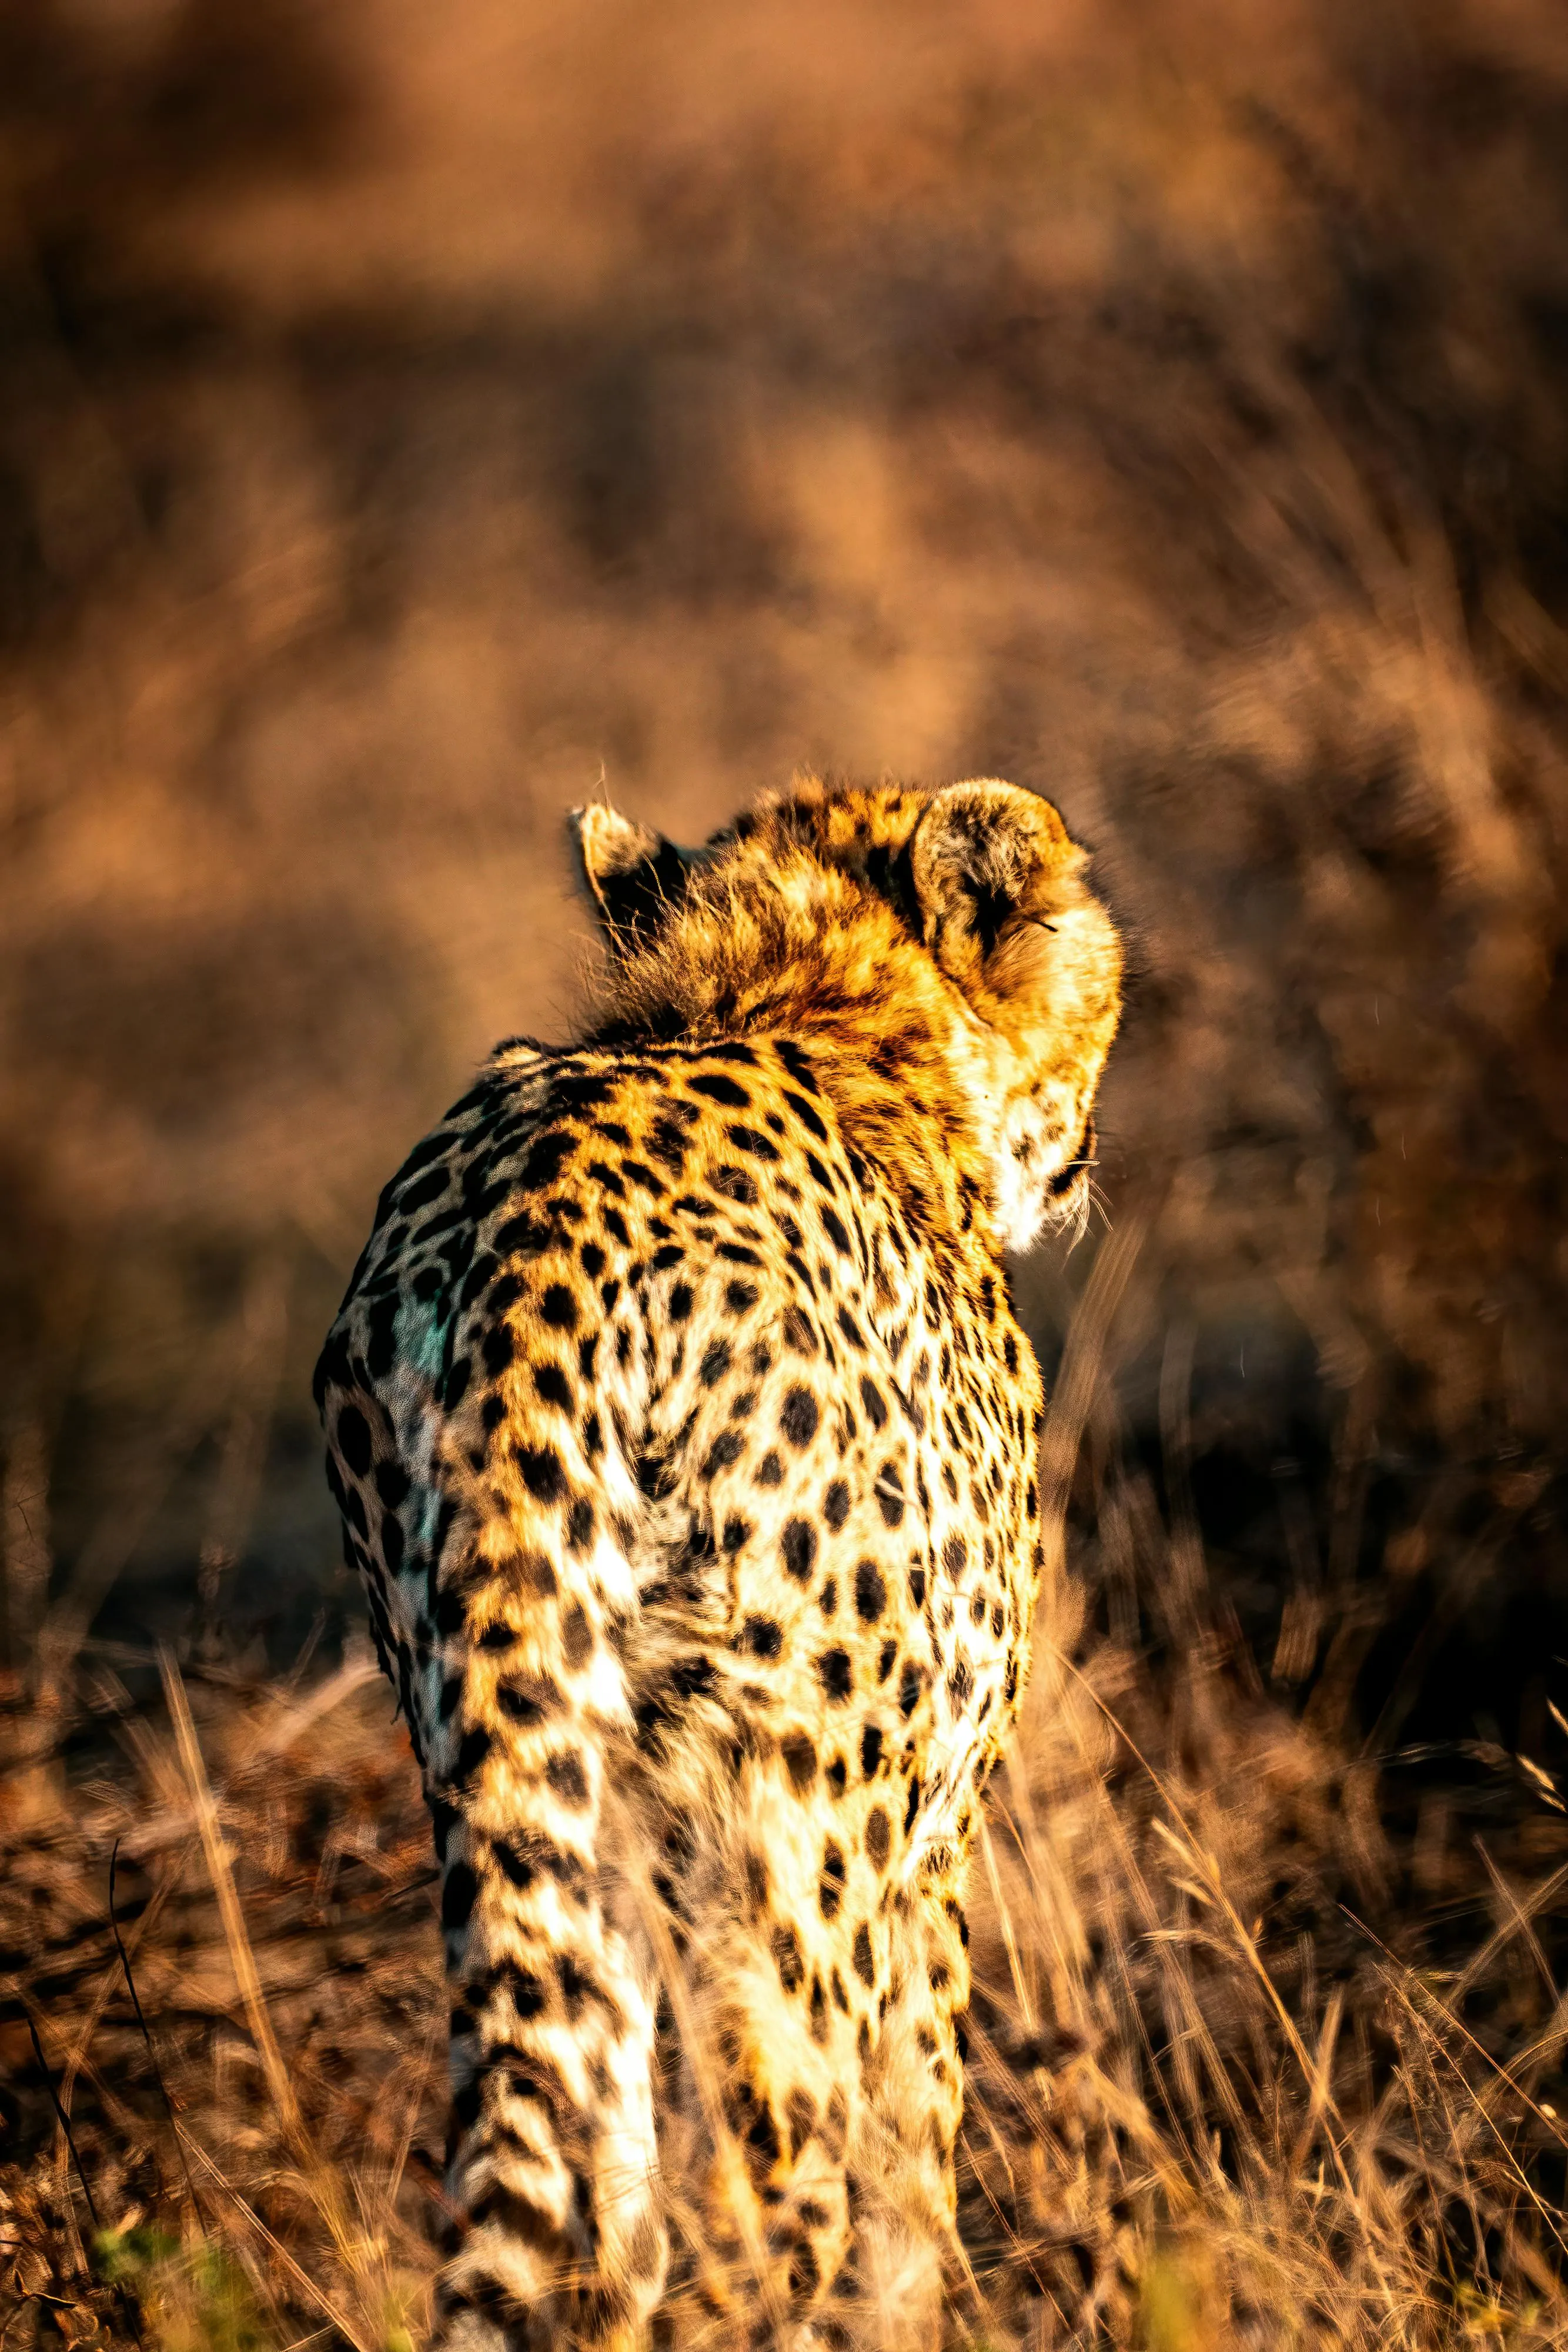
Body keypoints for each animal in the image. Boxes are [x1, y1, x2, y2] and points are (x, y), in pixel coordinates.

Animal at [314, 776, 1123, 2350]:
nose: (1084, 1156)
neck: (795, 1004)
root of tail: (540, 1211)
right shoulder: (929, 1845)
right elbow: (911, 2169)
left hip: (529, 1793)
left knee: (593, 2182)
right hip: (797, 1829)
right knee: (770, 2190)